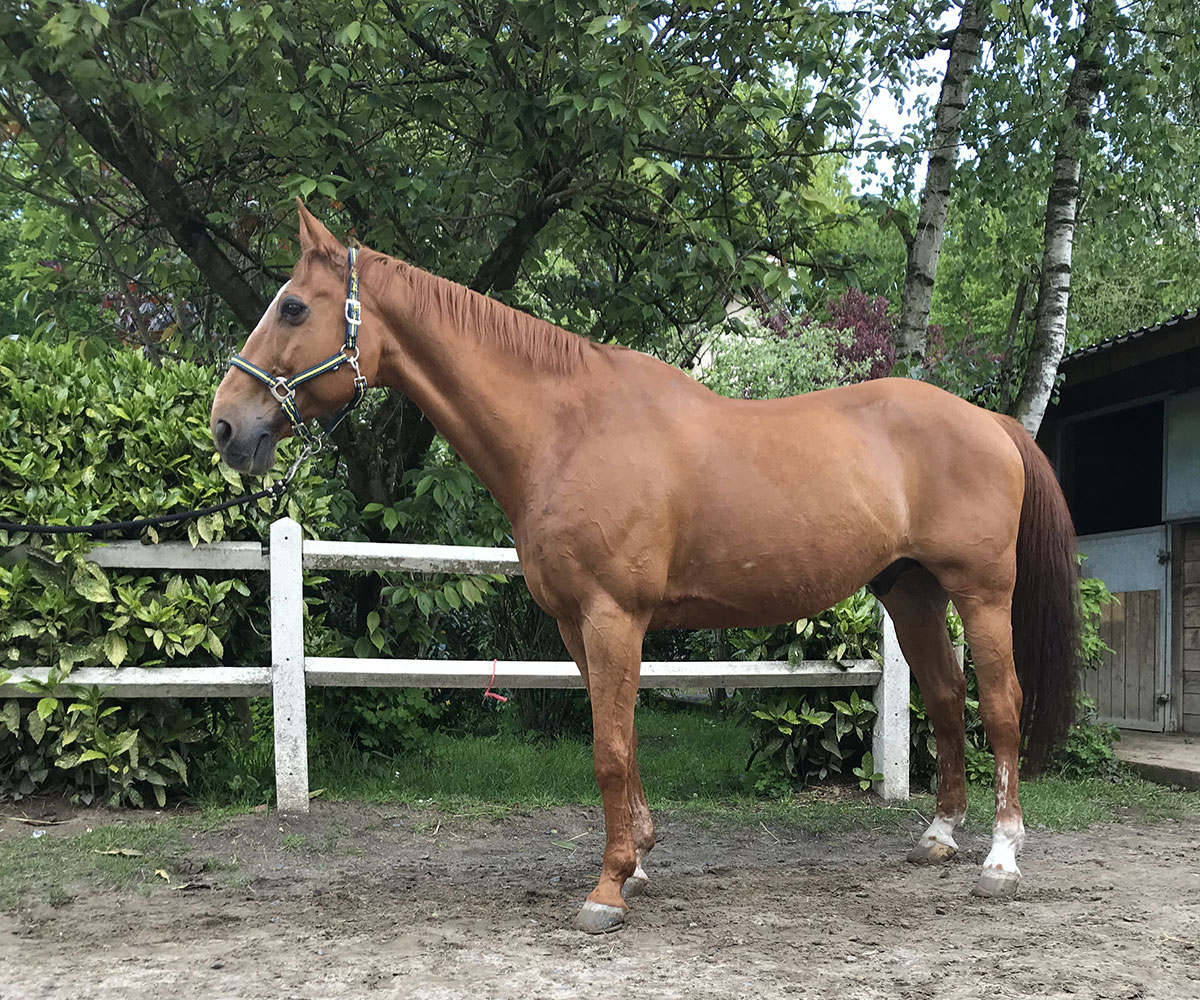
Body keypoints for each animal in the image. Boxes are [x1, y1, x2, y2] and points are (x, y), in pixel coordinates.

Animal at [211, 206, 1084, 931]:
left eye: (293, 307)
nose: (226, 425)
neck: (567, 428)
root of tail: (989, 421)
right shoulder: (578, 625)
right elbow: (619, 739)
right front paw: (635, 862)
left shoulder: (612, 616)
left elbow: (608, 750)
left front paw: (606, 891)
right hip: (912, 593)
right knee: (941, 698)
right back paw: (939, 835)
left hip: (981, 593)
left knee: (1000, 705)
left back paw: (1000, 859)